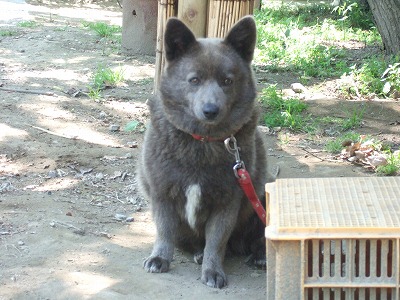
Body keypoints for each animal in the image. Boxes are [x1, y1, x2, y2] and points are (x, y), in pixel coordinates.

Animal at [138, 15, 268, 288]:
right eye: (194, 79)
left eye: (227, 81)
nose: (211, 110)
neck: (203, 141)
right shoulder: (162, 194)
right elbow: (164, 232)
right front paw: (159, 258)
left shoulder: (228, 202)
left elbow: (216, 242)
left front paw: (213, 271)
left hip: (263, 195)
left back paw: (259, 256)